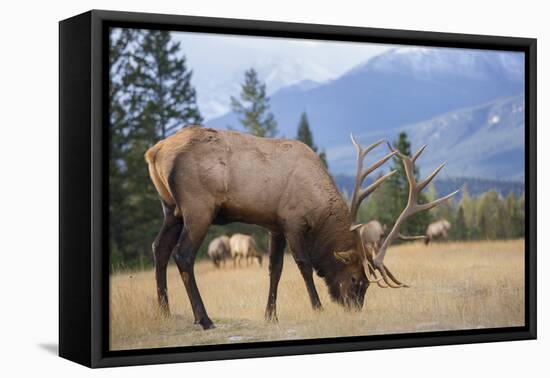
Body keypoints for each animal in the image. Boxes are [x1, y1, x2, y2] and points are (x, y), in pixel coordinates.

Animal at [144, 126, 460, 328]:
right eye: (357, 280)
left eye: (367, 284)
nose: (354, 308)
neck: (318, 206)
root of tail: (154, 152)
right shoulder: (292, 220)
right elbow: (304, 265)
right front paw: (317, 306)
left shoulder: (274, 225)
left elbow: (274, 269)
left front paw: (270, 315)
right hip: (198, 207)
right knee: (183, 255)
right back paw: (204, 319)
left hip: (170, 209)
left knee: (159, 249)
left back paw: (164, 311)